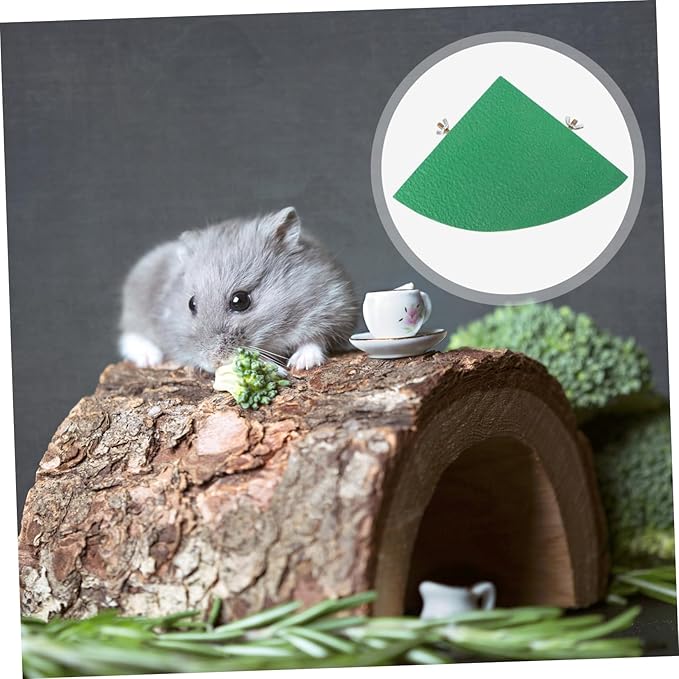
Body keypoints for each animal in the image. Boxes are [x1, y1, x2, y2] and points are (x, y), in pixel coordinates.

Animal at [118, 207, 358, 372]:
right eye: (191, 304)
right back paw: (149, 358)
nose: (213, 362)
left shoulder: (334, 307)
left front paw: (301, 364)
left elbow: (315, 340)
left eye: (240, 300)